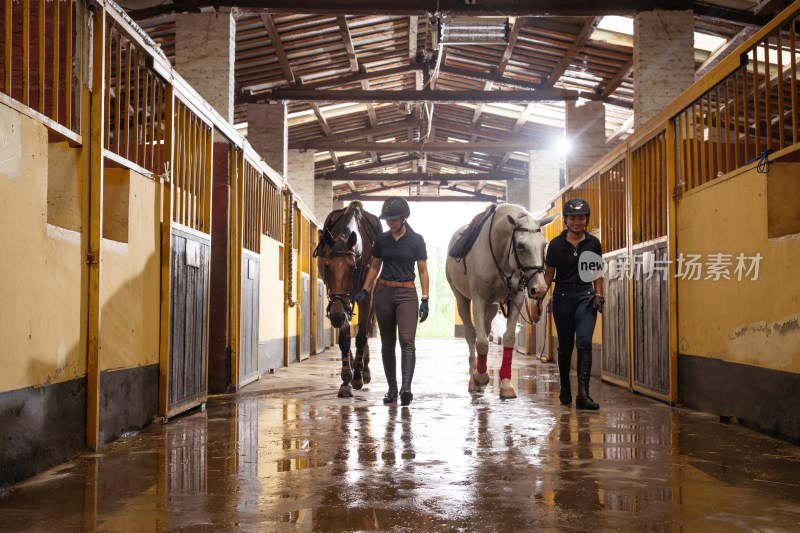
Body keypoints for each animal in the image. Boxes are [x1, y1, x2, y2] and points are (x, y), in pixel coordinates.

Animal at [314, 202, 382, 396]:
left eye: (352, 269)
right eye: (326, 266)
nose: (336, 316)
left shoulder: (365, 296)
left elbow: (361, 336)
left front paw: (358, 375)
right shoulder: (340, 304)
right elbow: (345, 339)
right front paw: (346, 378)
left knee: (366, 330)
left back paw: (364, 370)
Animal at [444, 204, 556, 400]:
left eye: (544, 245)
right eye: (520, 246)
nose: (540, 289)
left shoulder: (516, 298)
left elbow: (508, 338)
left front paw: (505, 384)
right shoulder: (478, 299)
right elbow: (481, 341)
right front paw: (481, 377)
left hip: (492, 305)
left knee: (485, 329)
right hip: (462, 298)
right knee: (471, 334)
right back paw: (473, 380)